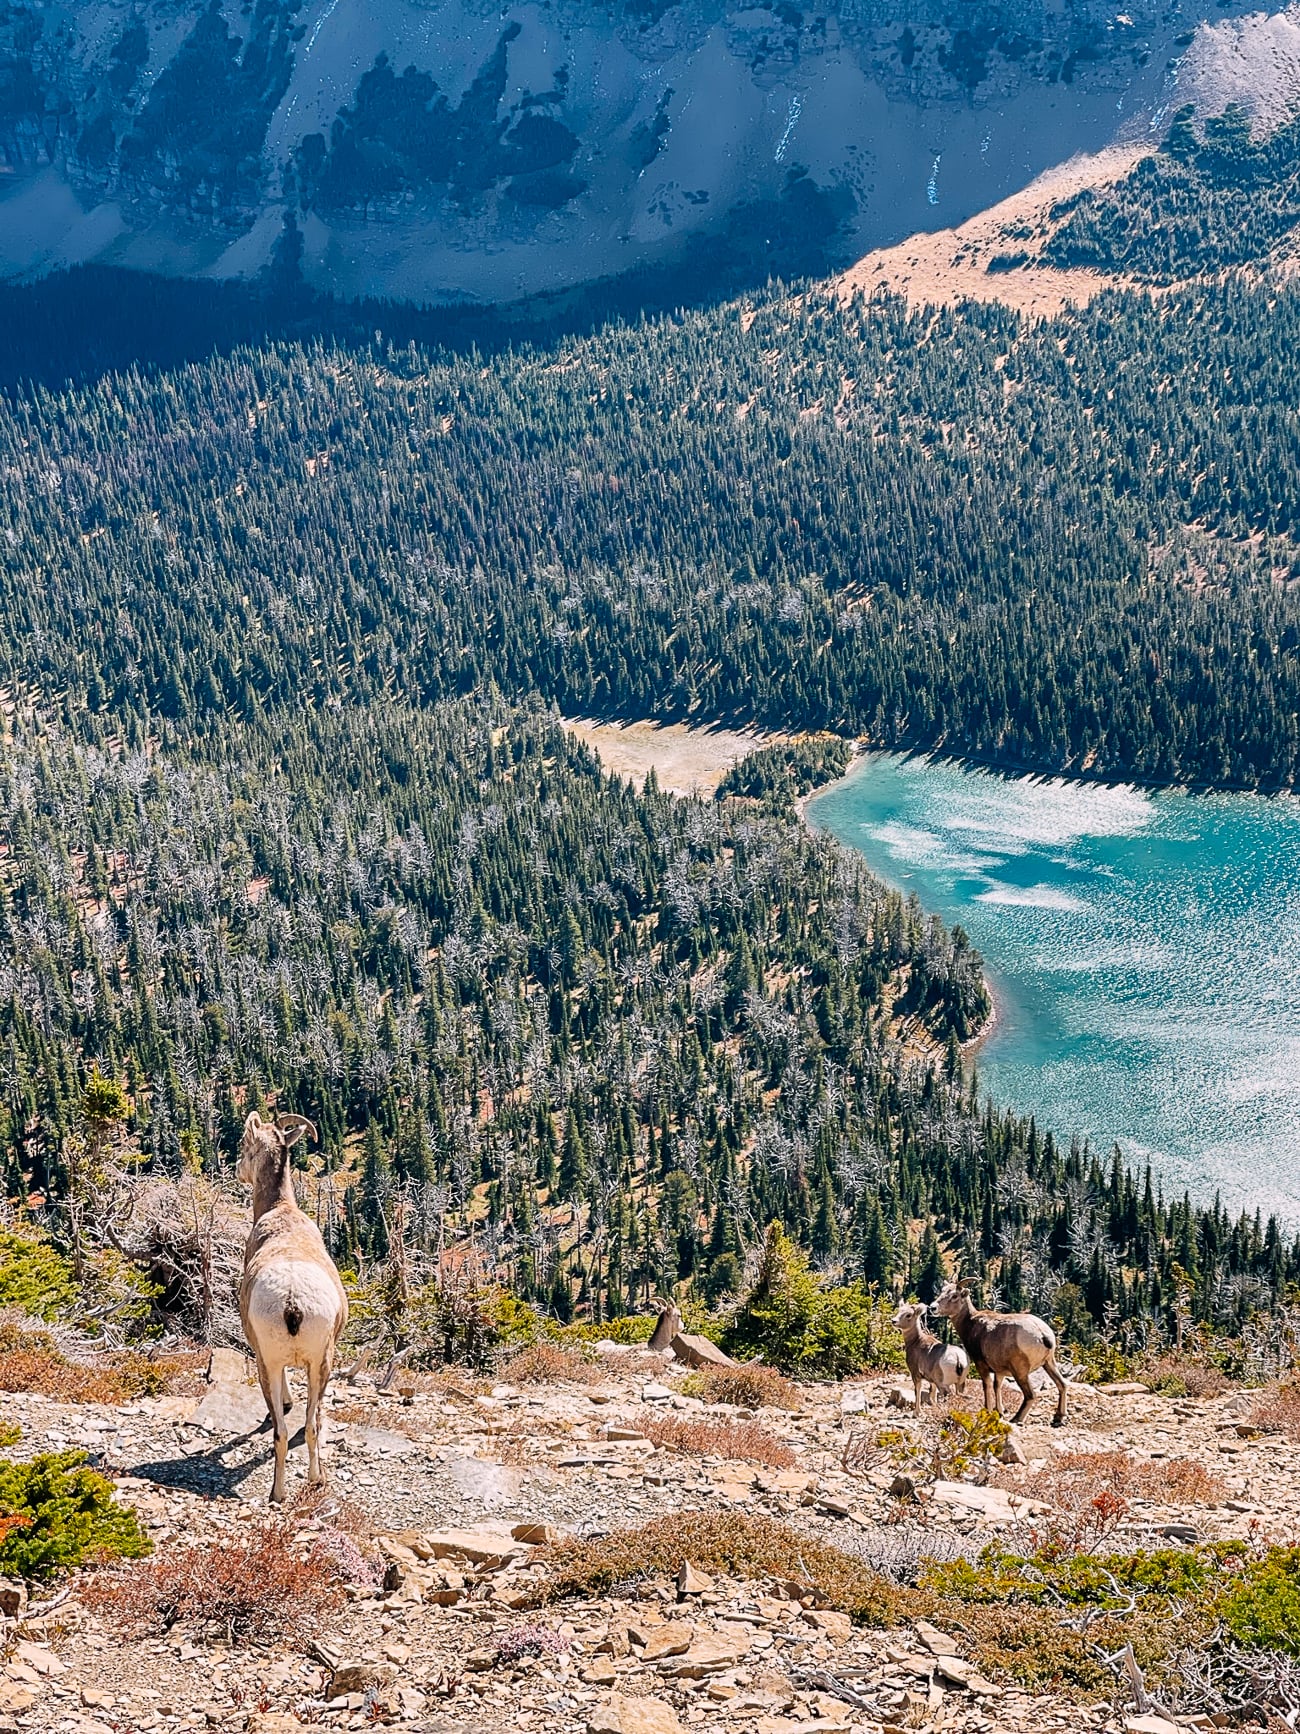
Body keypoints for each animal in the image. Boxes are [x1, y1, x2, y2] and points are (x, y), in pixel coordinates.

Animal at [237, 1111, 348, 1503]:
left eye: (244, 1145)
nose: (238, 1169)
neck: (280, 1212)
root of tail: (292, 1303)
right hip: (321, 1365)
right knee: (310, 1426)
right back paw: (314, 1480)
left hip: (266, 1364)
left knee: (281, 1430)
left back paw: (278, 1493)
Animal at [932, 1279, 1068, 1427]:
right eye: (942, 1291)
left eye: (954, 1296)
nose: (932, 1308)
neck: (970, 1324)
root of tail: (1042, 1334)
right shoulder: (1000, 1371)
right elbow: (997, 1386)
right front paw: (999, 1411)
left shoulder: (981, 1364)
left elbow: (987, 1386)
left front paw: (987, 1410)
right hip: (1049, 1363)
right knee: (1062, 1385)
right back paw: (1058, 1418)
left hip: (1020, 1371)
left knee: (1031, 1395)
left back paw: (1016, 1419)